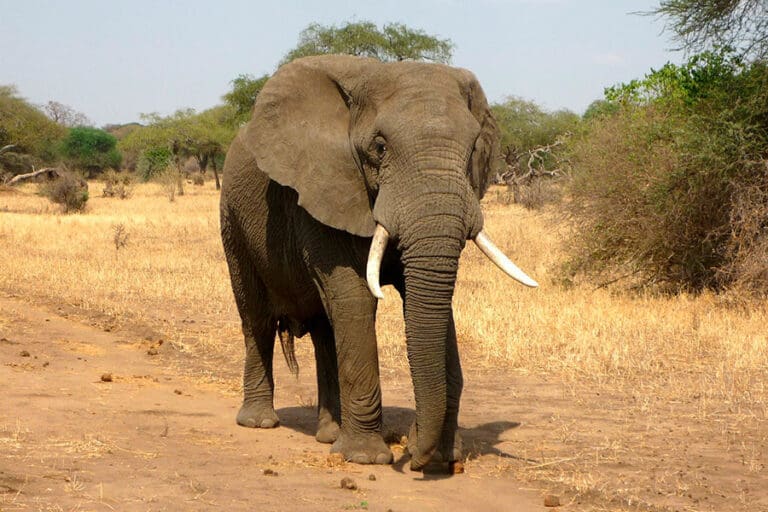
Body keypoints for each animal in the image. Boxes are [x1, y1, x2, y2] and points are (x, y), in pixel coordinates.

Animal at [219, 55, 537, 471]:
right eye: (380, 147)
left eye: (472, 150)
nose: (415, 456)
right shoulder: (324, 188)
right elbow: (356, 297)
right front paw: (365, 459)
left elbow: (429, 302)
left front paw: (443, 457)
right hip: (232, 218)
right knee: (255, 316)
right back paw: (259, 422)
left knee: (325, 329)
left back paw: (329, 435)